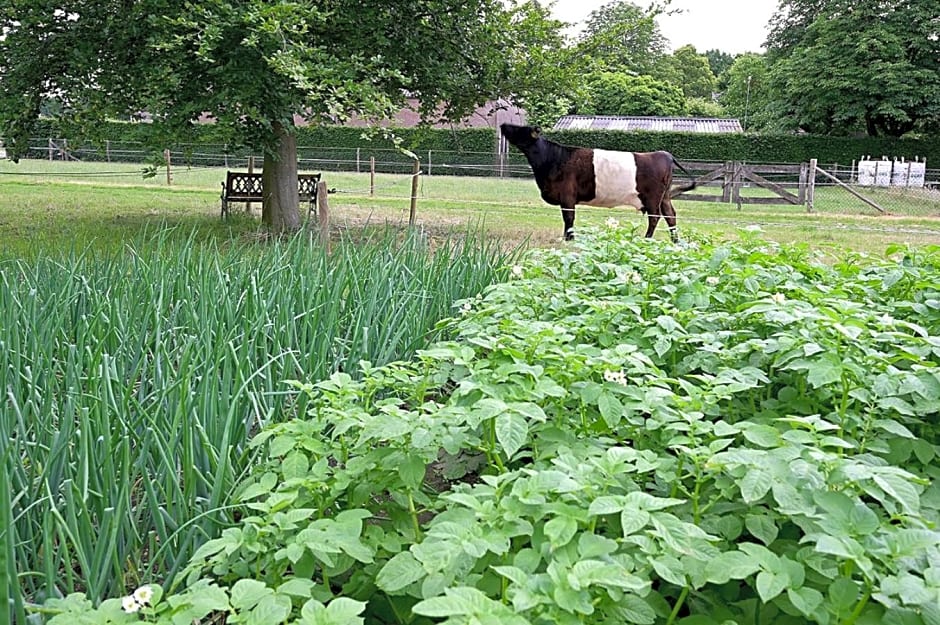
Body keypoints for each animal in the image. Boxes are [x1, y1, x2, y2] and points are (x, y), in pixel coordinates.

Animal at [504, 122, 692, 241]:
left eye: (521, 129)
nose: (503, 125)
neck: (554, 158)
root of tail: (665, 154)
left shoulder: (567, 196)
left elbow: (569, 218)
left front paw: (568, 238)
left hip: (652, 197)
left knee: (655, 217)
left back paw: (646, 239)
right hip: (664, 197)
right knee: (671, 215)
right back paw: (675, 241)